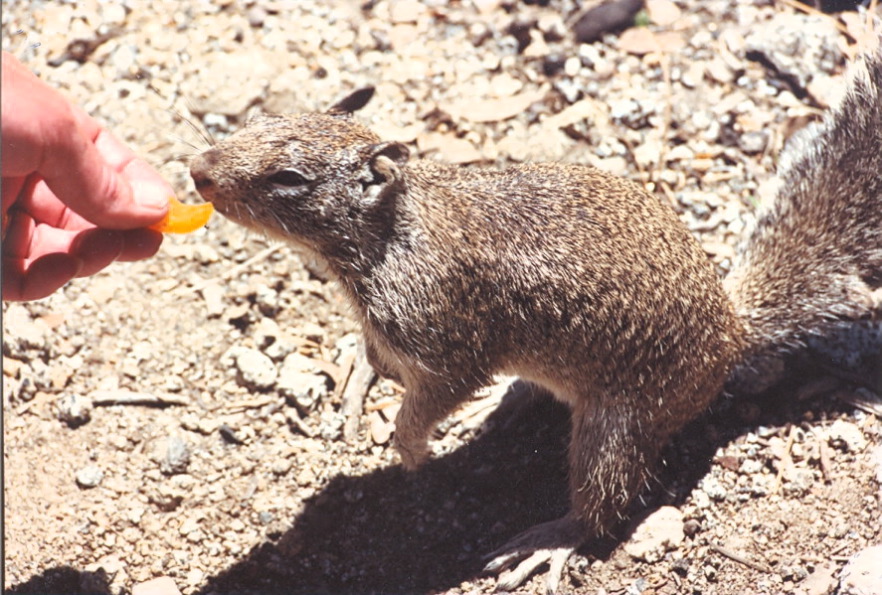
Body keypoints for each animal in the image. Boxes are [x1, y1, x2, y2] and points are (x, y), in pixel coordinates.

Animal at [189, 43, 876, 592]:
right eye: (261, 120)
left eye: (289, 177)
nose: (198, 172)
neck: (391, 230)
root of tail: (732, 335)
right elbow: (380, 356)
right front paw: (362, 375)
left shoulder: (447, 336)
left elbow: (434, 398)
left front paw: (409, 446)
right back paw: (509, 404)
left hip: (618, 426)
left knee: (603, 506)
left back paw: (548, 539)